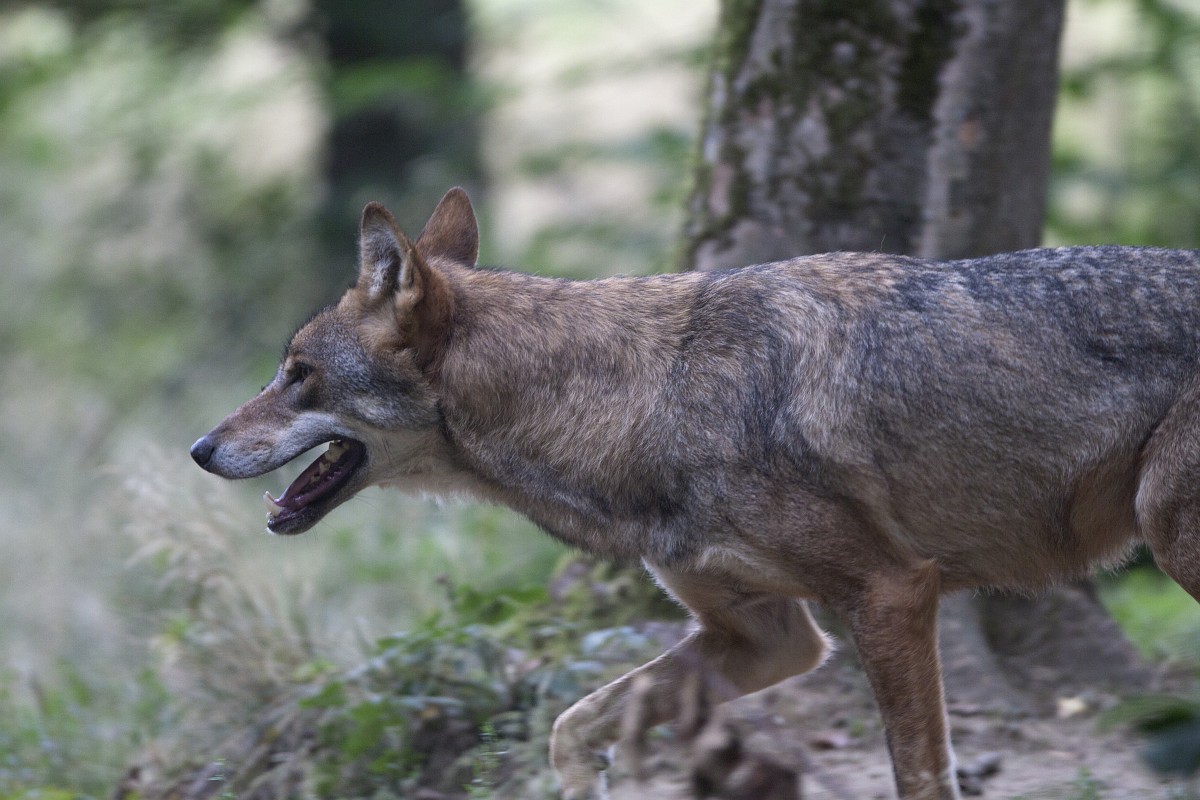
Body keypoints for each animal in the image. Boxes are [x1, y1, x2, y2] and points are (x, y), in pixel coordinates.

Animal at [192, 187, 1200, 800]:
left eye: (297, 374)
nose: (199, 448)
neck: (647, 397)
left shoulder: (891, 596)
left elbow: (920, 775)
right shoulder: (768, 636)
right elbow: (572, 722)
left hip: (1169, 536)